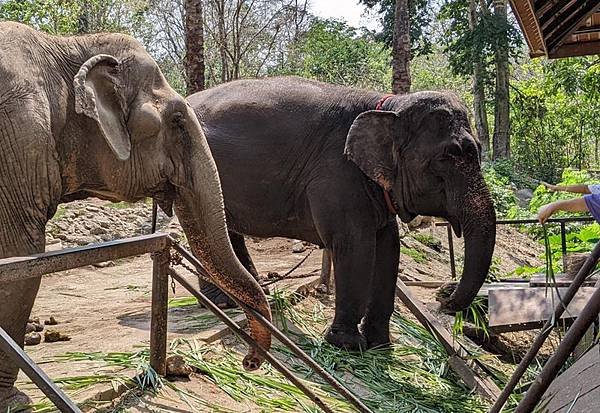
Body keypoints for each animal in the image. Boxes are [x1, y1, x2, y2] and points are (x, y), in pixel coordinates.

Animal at [0, 22, 270, 408]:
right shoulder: (19, 137)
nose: (248, 362)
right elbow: (20, 253)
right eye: (177, 121)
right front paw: (16, 402)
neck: (64, 48)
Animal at [188, 75, 496, 350]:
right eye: (446, 157)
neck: (388, 104)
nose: (444, 295)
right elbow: (355, 245)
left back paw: (254, 292)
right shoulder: (336, 175)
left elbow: (388, 248)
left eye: (479, 150)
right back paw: (221, 301)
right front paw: (347, 344)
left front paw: (380, 345)